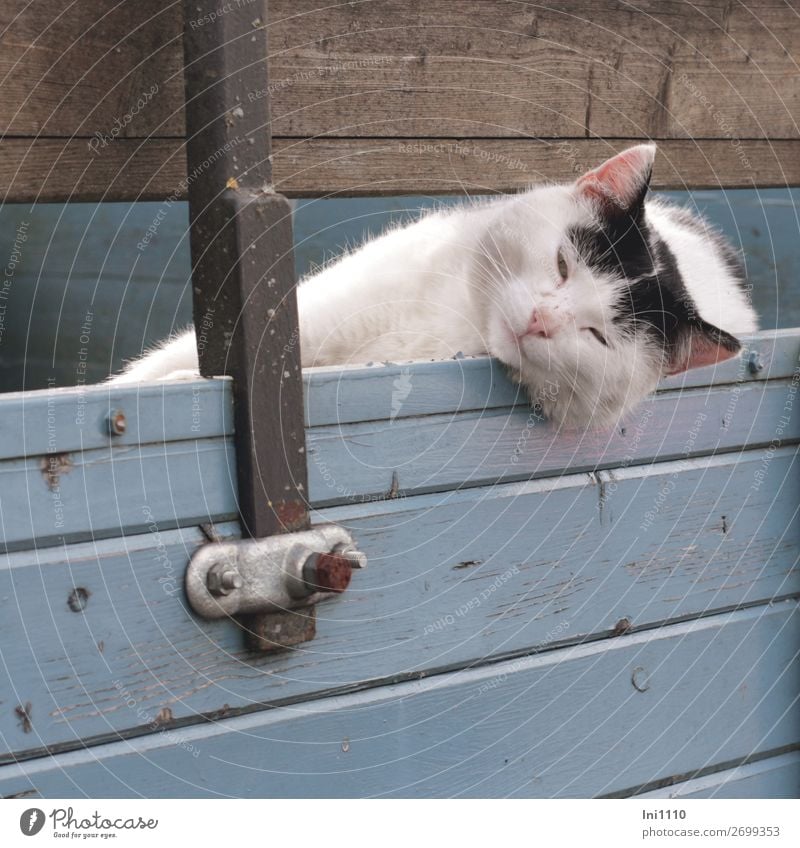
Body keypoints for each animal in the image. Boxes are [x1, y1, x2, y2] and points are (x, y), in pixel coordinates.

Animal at [111, 143, 756, 430]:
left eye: (599, 337)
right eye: (562, 264)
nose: (542, 319)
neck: (456, 322)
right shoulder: (323, 313)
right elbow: (157, 368)